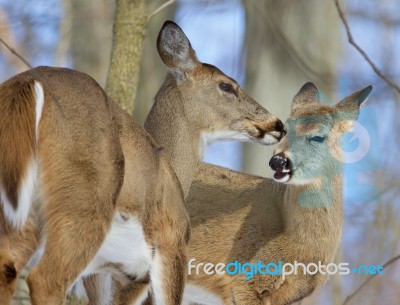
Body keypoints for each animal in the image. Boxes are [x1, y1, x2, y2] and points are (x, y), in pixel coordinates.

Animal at [0, 19, 284, 304]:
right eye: (226, 85)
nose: (278, 124)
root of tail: (28, 86)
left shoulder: (104, 272)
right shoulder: (169, 244)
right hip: (84, 201)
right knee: (45, 280)